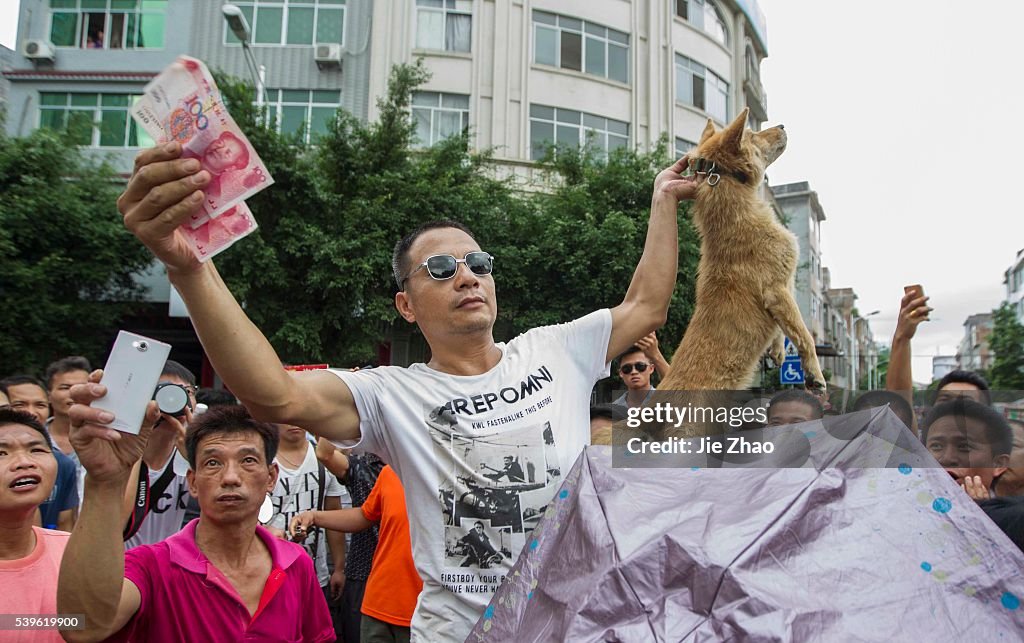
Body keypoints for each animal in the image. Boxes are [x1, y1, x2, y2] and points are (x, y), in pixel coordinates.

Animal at [659, 108, 827, 395]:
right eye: (752, 133)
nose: (782, 126)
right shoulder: (777, 290)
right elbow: (805, 336)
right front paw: (814, 373)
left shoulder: (783, 290)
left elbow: (783, 331)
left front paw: (778, 352)